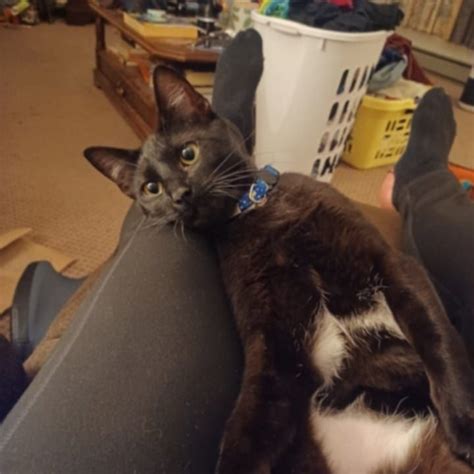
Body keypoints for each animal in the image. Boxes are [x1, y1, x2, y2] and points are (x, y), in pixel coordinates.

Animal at [84, 66, 474, 474]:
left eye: (188, 154)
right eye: (151, 188)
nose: (179, 196)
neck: (256, 215)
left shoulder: (394, 265)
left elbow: (436, 338)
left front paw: (464, 424)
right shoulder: (276, 343)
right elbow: (253, 423)